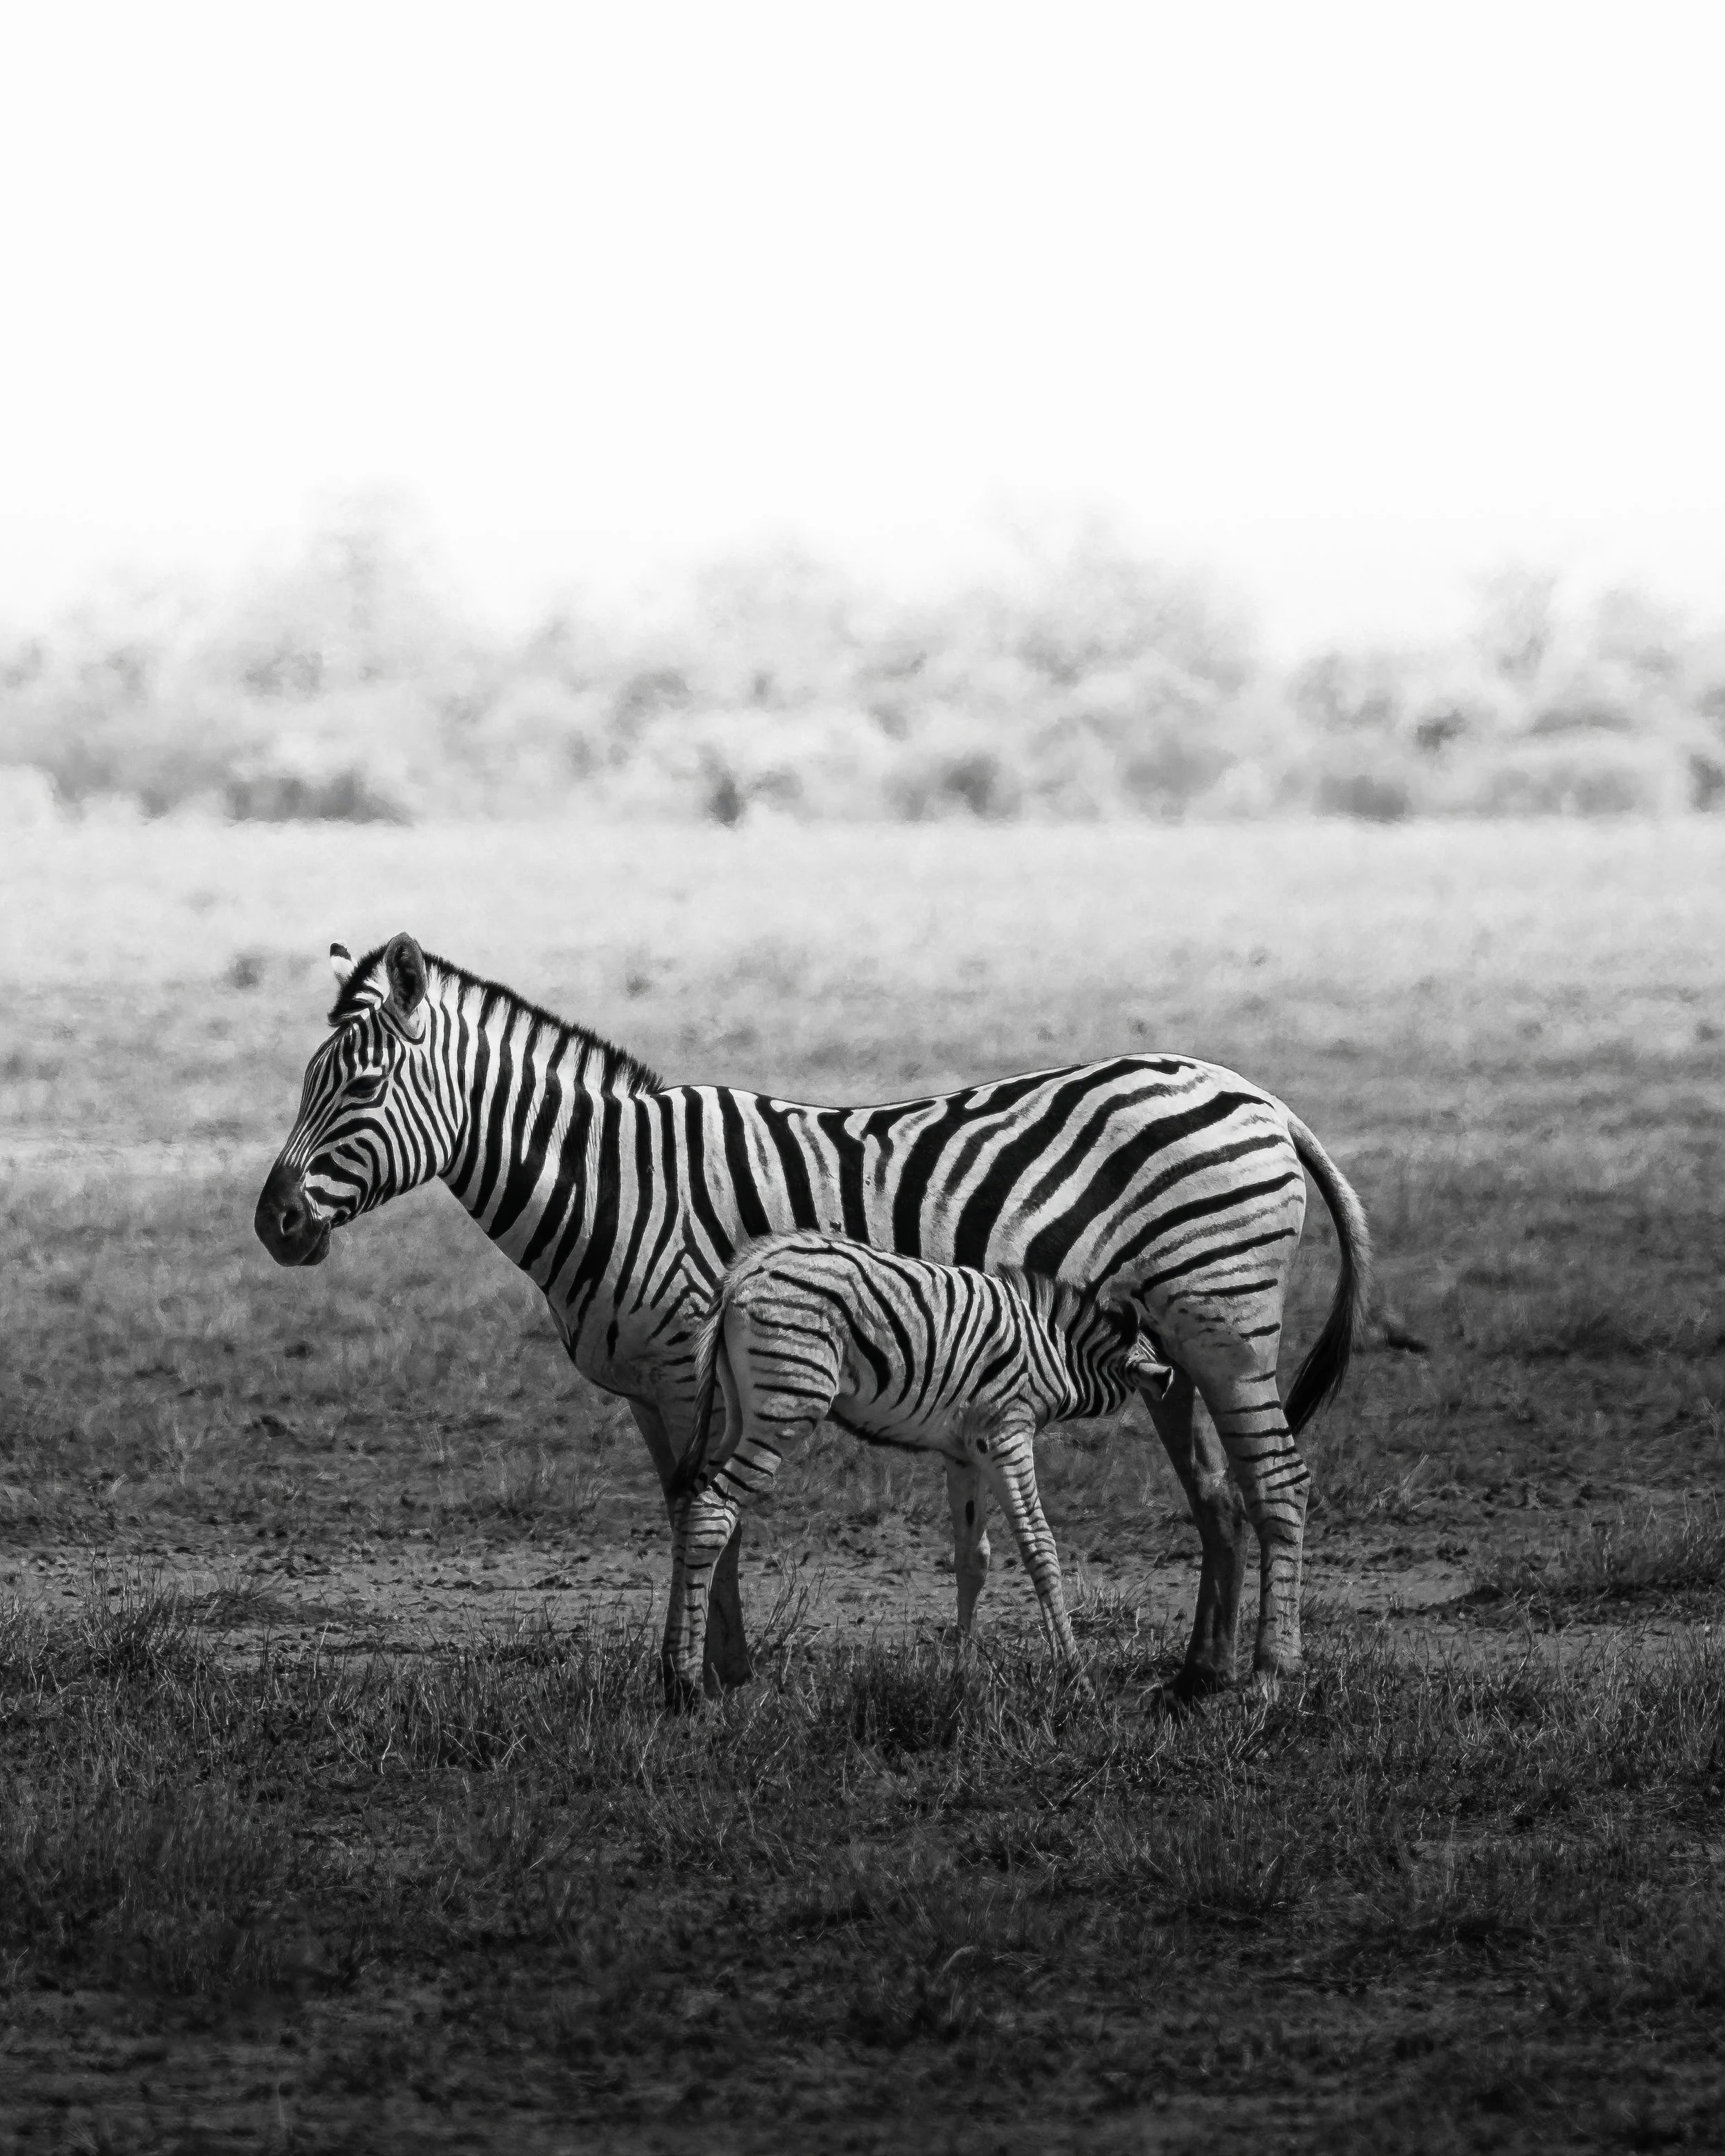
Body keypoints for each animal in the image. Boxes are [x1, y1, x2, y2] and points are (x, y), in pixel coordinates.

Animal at [662, 1230, 1175, 1699]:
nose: (1173, 1382)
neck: (1057, 1353)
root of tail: (743, 1270)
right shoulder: (1007, 1432)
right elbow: (1039, 1545)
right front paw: (1076, 1676)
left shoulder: (966, 1451)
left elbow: (973, 1557)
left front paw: (962, 1674)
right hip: (787, 1405)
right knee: (713, 1511)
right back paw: (687, 1684)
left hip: (738, 1412)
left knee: (688, 1505)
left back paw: (671, 1665)